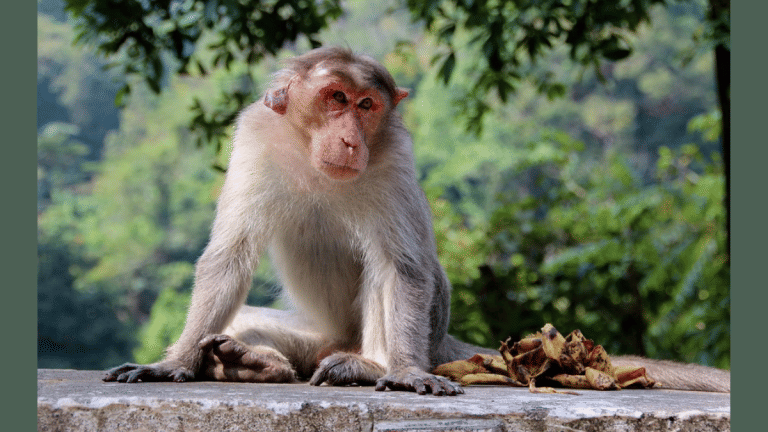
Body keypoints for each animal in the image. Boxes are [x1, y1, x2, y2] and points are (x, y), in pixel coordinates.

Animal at [104, 47, 729, 395]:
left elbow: (402, 267)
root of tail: (339, 342)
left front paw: (403, 371)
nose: (350, 138)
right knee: (259, 327)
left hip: (404, 331)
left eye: (367, 107)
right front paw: (174, 363)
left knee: (399, 276)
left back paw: (364, 368)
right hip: (311, 335)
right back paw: (250, 361)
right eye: (335, 98)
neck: (311, 159)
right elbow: (228, 256)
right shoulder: (253, 140)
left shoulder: (393, 160)